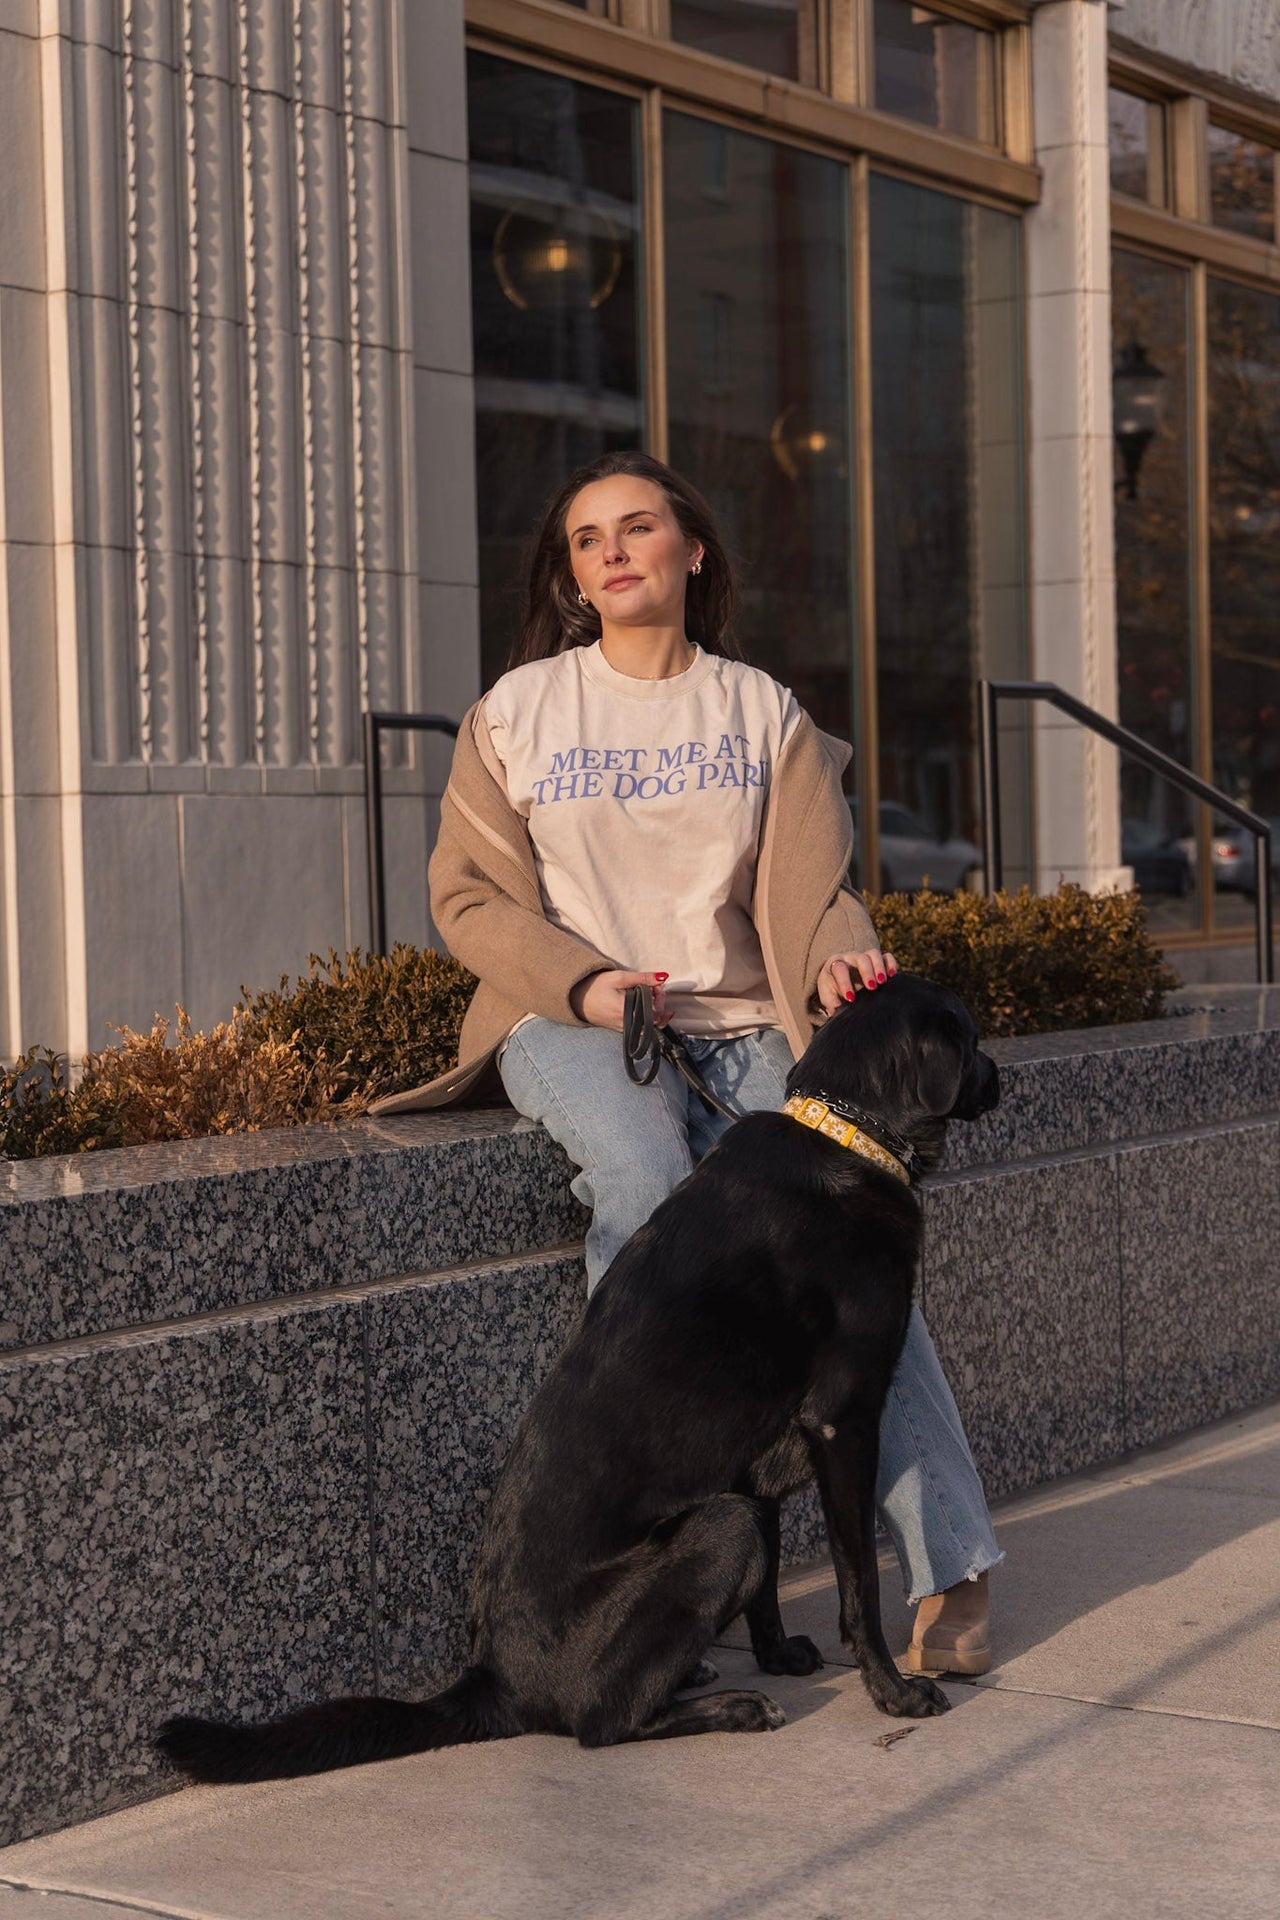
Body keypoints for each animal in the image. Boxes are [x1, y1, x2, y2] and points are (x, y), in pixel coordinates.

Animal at [160, 975, 997, 1781]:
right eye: (969, 1034)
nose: (996, 1077)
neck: (846, 1135)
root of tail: (491, 1680)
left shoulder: (759, 1459)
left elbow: (769, 1588)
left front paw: (778, 1653)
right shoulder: (843, 1420)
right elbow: (860, 1582)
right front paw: (892, 1692)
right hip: (718, 1526)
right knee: (600, 1725)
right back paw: (731, 1707)